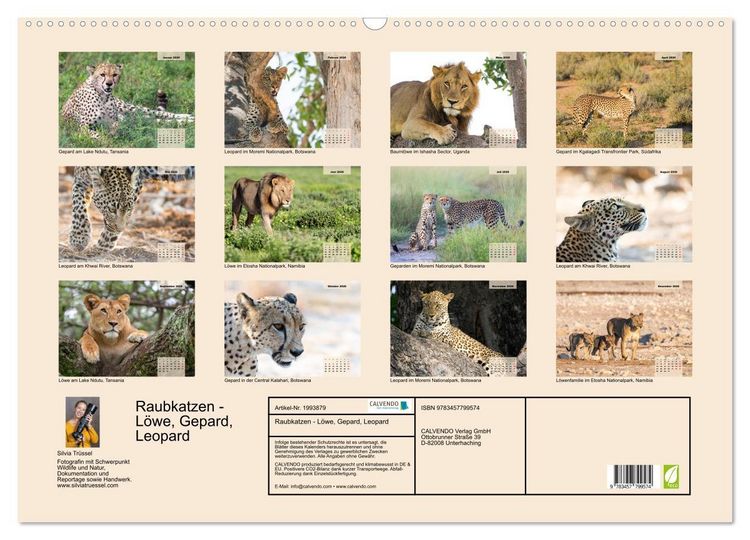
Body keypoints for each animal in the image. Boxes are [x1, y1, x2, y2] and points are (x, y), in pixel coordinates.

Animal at [61, 62, 195, 139]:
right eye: (102, 74)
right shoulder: (82, 127)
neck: (103, 97)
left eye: (115, 75)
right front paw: (108, 139)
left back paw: (188, 117)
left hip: (133, 109)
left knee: (164, 114)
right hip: (135, 118)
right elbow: (99, 134)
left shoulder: (112, 121)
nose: (109, 84)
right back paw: (186, 121)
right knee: (156, 121)